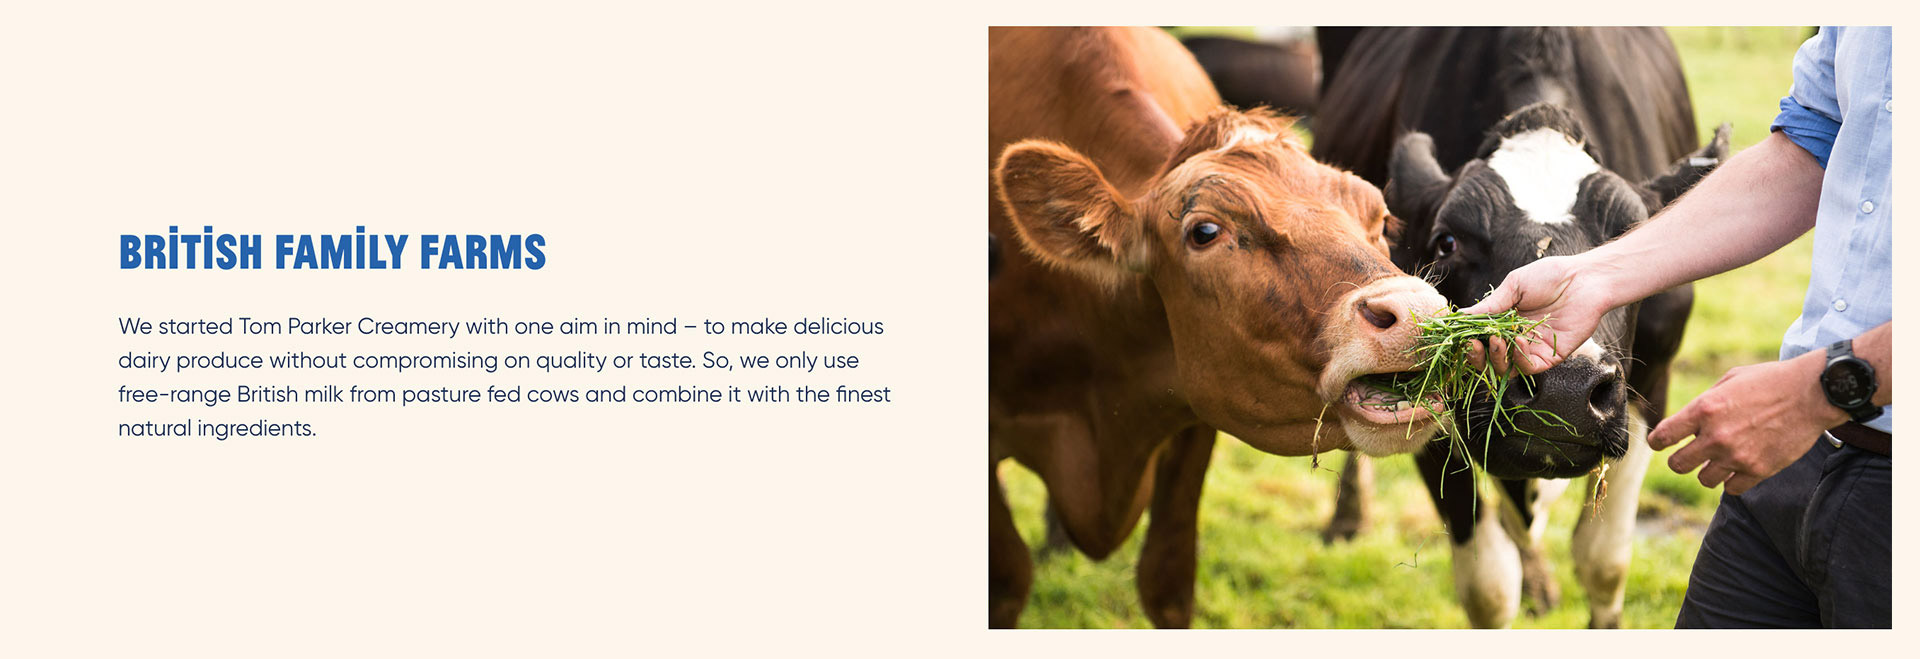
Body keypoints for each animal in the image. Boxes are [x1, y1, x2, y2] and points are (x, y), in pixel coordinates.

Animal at [989, 26, 1449, 628]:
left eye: (1381, 221)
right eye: (1204, 231)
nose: (1419, 315)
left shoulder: (1195, 413)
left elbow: (1167, 579)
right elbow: (1007, 580)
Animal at [1308, 27, 1725, 628]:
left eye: (1631, 237)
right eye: (1447, 242)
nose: (1564, 390)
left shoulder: (1654, 384)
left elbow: (1603, 563)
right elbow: (1488, 587)